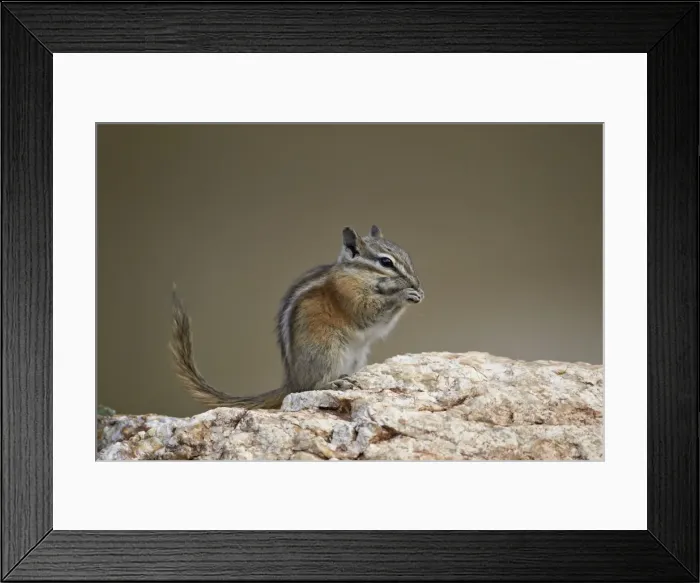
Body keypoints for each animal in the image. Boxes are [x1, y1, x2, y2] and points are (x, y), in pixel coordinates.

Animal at [170, 224, 424, 410]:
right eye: (386, 262)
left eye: (407, 256)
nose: (416, 283)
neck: (358, 275)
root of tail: (292, 381)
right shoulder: (347, 295)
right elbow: (368, 313)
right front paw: (403, 294)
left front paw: (417, 293)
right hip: (327, 350)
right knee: (310, 387)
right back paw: (333, 382)